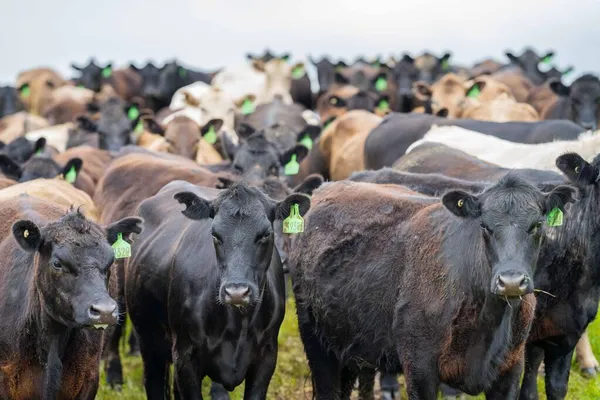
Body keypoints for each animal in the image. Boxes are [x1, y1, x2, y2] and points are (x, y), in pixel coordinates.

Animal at [127, 182, 310, 400]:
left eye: (265, 234)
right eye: (215, 235)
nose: (237, 292)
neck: (238, 325)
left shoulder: (267, 355)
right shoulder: (185, 355)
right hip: (148, 341)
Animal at [290, 178, 576, 400]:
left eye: (537, 225)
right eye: (484, 226)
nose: (511, 281)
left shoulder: (510, 369)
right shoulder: (419, 367)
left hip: (348, 348)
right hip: (317, 342)